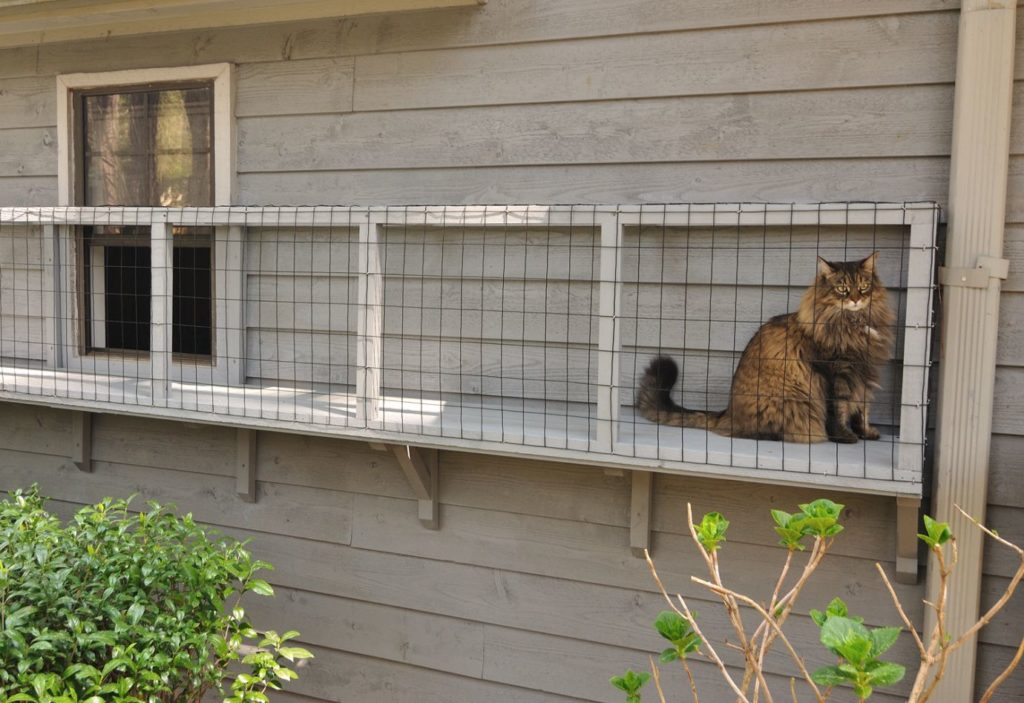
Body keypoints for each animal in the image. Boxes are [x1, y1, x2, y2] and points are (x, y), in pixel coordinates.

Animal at [634, 251, 892, 440]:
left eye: (864, 286)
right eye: (842, 289)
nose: (856, 299)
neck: (854, 326)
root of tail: (727, 413)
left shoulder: (865, 373)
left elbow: (862, 410)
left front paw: (866, 432)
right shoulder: (836, 373)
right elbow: (838, 410)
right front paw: (845, 437)